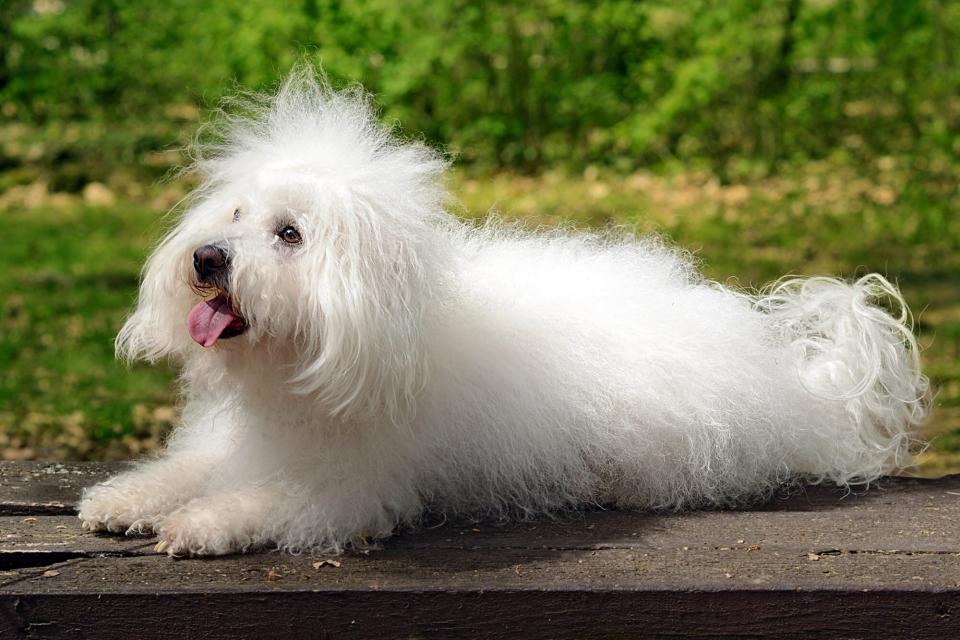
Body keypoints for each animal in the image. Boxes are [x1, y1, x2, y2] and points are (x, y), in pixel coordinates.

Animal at [79, 70, 928, 556]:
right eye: (233, 212)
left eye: (289, 234)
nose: (207, 259)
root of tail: (791, 383)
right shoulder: (235, 444)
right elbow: (184, 469)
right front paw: (123, 502)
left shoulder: (349, 485)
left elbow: (263, 502)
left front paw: (198, 525)